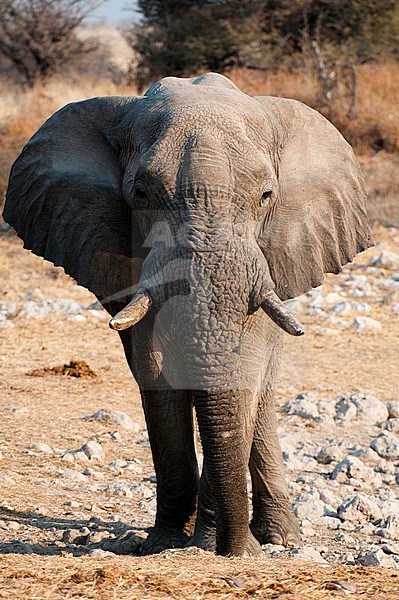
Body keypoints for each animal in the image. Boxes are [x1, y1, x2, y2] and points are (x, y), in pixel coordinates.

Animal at [2, 74, 376, 556]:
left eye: (266, 196)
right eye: (140, 194)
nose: (234, 550)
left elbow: (244, 370)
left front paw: (225, 545)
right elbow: (156, 372)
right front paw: (164, 544)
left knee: (262, 395)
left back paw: (278, 537)